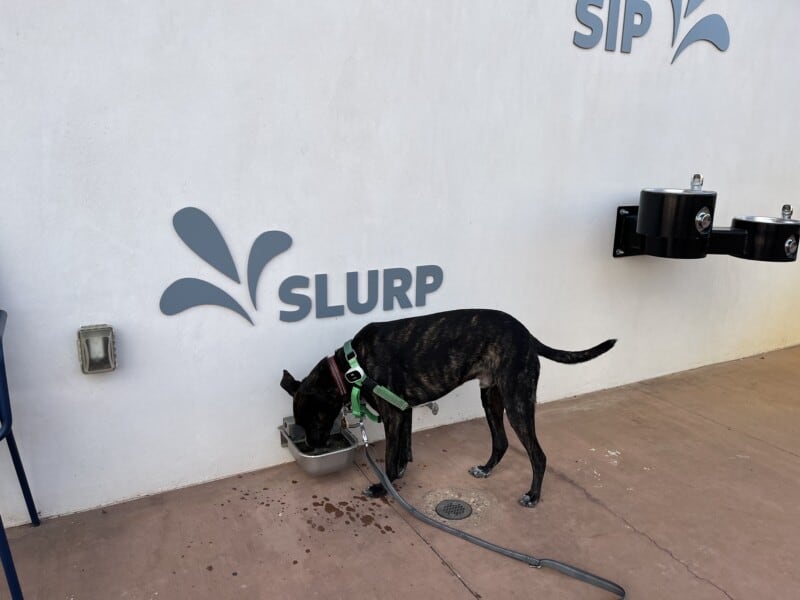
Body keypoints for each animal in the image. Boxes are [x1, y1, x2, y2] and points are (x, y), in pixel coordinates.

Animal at [278, 310, 616, 506]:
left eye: (312, 421)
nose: (314, 446)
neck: (350, 367)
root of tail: (527, 335)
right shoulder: (404, 411)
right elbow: (403, 451)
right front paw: (401, 471)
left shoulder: (393, 414)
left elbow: (390, 458)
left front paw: (384, 487)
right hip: (490, 397)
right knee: (501, 442)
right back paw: (486, 469)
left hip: (517, 401)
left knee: (538, 454)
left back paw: (533, 495)